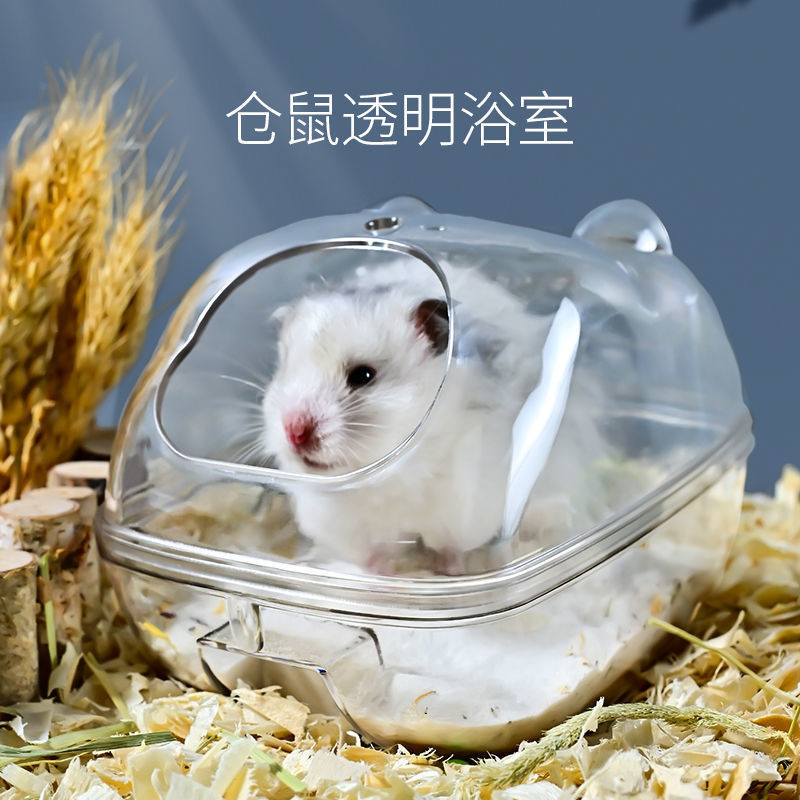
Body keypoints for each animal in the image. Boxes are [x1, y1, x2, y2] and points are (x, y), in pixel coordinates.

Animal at [260, 260, 605, 570]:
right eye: (284, 370)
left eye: (363, 376)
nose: (294, 432)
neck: (391, 476)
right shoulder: (348, 529)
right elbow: (371, 559)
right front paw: (382, 582)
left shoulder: (465, 508)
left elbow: (452, 549)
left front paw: (449, 573)